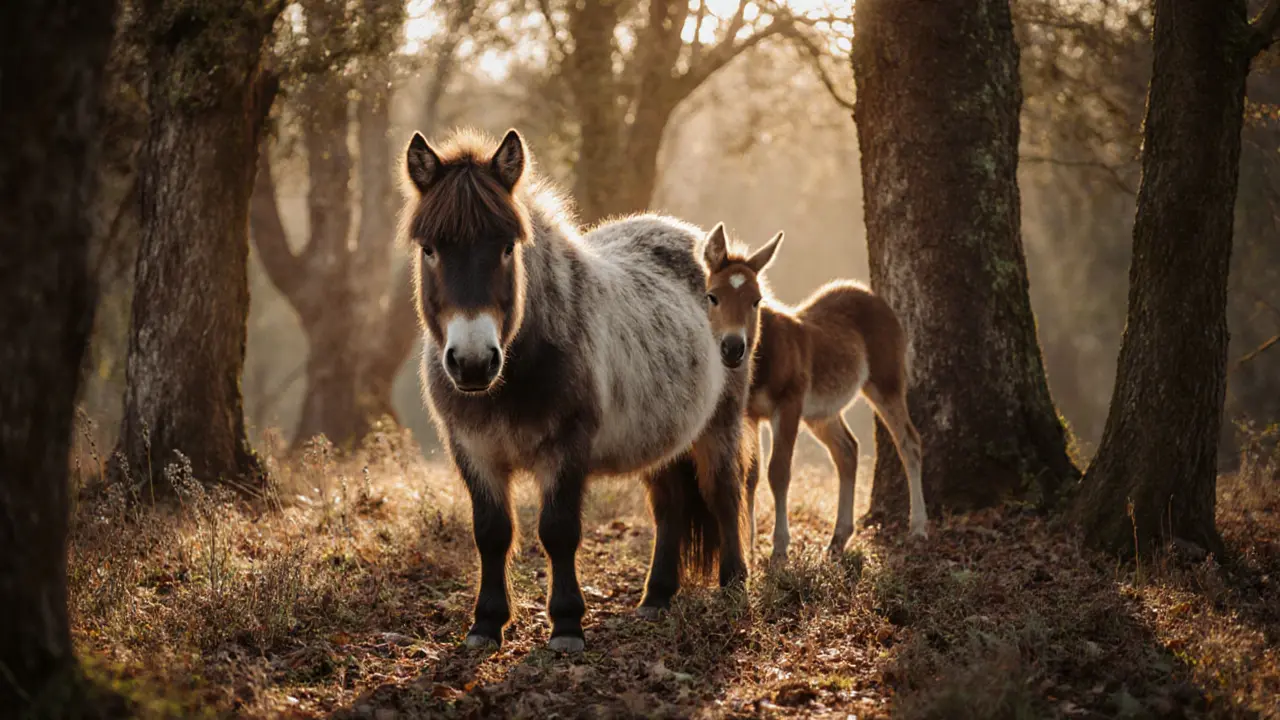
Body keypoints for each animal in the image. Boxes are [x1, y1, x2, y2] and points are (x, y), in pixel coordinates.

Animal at [401, 127, 751, 653]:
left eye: (507, 248)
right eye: (430, 249)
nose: (474, 362)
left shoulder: (566, 449)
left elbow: (558, 531)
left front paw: (566, 625)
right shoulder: (473, 451)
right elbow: (491, 533)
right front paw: (486, 623)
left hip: (719, 425)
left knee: (723, 493)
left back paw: (733, 587)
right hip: (664, 436)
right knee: (669, 506)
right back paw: (656, 598)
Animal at [701, 229, 928, 563]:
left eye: (756, 300)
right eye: (712, 296)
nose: (733, 348)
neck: (763, 362)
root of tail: (875, 299)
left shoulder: (790, 405)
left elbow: (779, 471)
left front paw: (779, 549)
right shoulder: (750, 415)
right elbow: (751, 475)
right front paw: (750, 549)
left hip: (885, 382)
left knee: (908, 442)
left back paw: (918, 529)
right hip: (822, 412)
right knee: (847, 450)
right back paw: (838, 539)